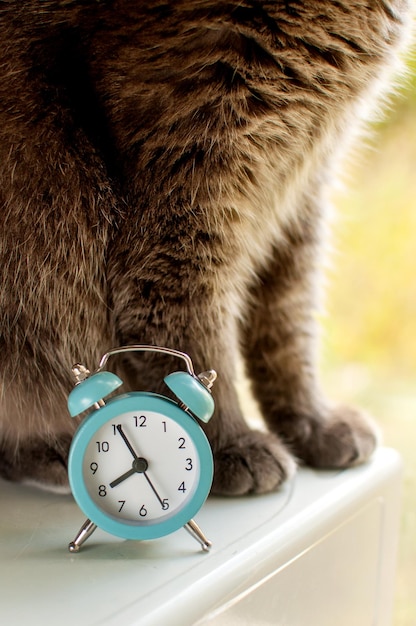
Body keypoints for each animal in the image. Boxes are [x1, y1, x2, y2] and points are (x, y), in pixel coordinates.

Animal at [0, 1, 412, 492]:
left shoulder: (301, 196)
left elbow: (289, 324)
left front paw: (313, 423)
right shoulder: (186, 201)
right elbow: (188, 335)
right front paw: (225, 443)